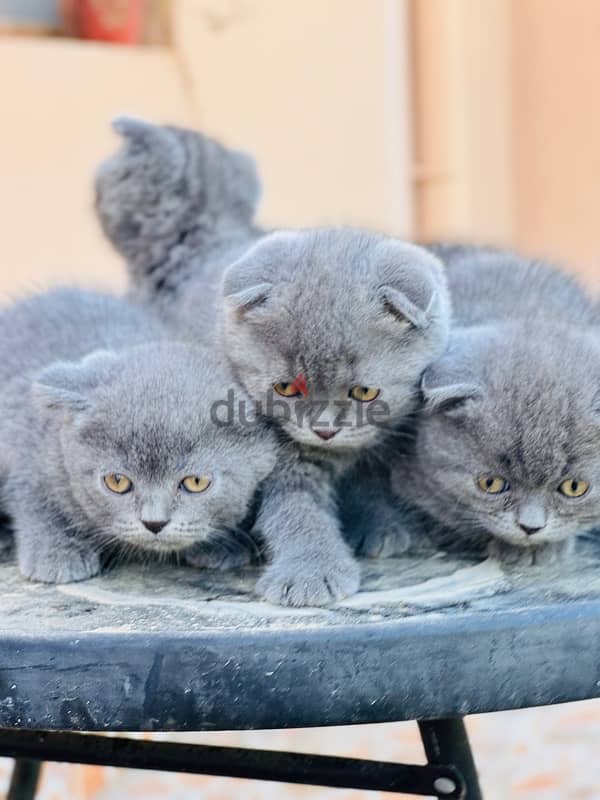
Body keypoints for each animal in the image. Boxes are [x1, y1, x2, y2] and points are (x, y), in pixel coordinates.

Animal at [0, 288, 276, 580]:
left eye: (196, 482)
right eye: (117, 481)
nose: (154, 523)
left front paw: (222, 544)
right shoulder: (24, 439)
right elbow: (32, 497)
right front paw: (57, 551)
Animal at [94, 117, 450, 608]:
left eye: (364, 392)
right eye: (286, 388)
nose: (324, 430)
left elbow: (373, 482)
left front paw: (381, 525)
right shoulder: (283, 455)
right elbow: (296, 512)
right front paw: (311, 572)